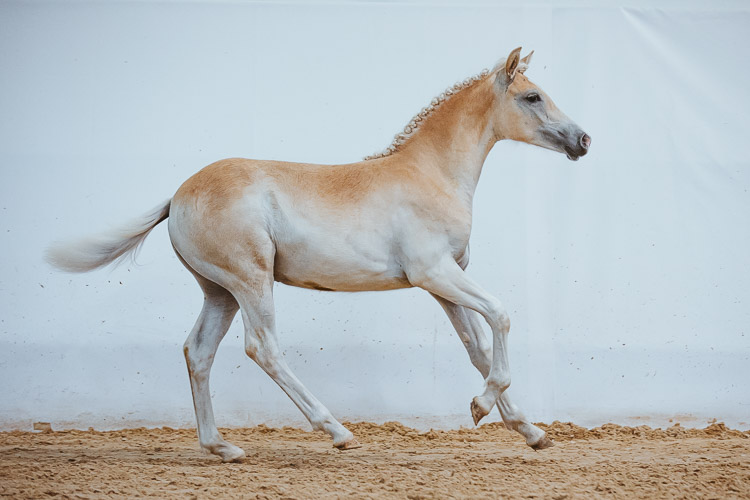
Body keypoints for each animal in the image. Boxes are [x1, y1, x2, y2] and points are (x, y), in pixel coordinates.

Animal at [47, 47, 590, 462]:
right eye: (532, 96)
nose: (582, 140)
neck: (431, 174)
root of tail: (178, 196)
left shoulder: (444, 284)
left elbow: (477, 349)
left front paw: (531, 432)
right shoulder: (434, 273)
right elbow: (500, 316)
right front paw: (481, 407)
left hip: (219, 291)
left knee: (198, 352)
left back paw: (222, 447)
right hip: (251, 281)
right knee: (262, 348)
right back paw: (337, 432)